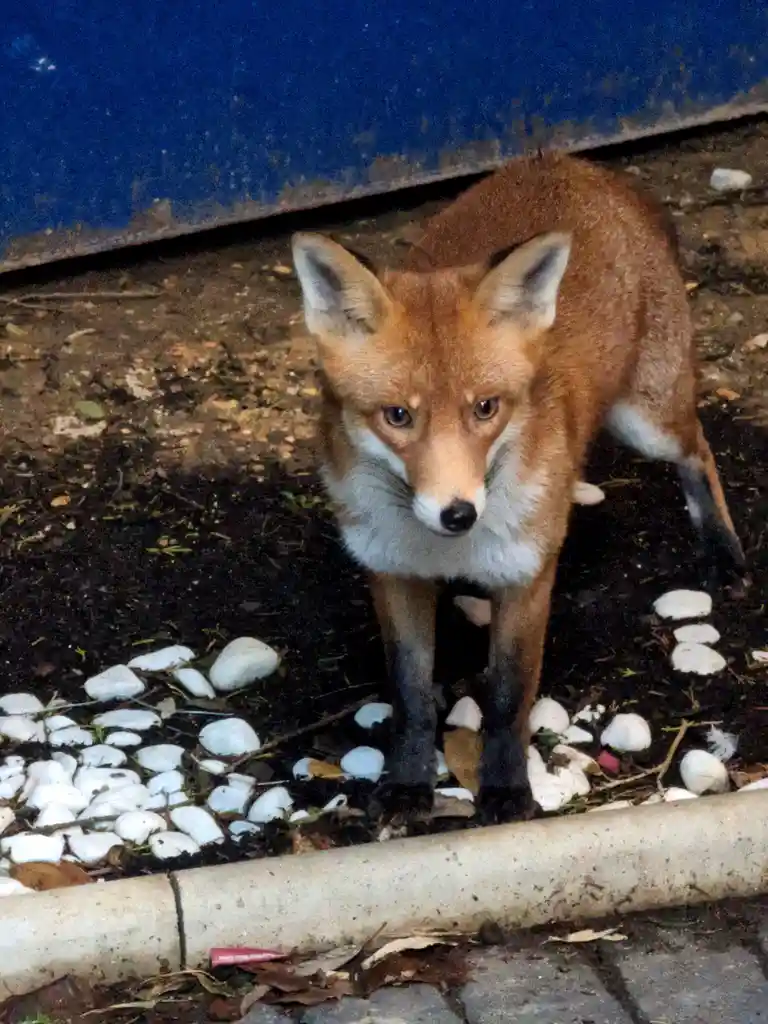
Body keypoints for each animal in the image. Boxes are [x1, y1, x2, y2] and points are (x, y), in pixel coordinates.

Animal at [291, 151, 745, 824]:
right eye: (398, 416)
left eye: (486, 408)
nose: (458, 513)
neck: (448, 552)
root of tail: (571, 162)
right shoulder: (391, 573)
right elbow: (410, 695)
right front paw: (407, 784)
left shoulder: (526, 577)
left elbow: (509, 697)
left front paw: (506, 792)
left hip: (647, 422)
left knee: (700, 451)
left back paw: (723, 552)